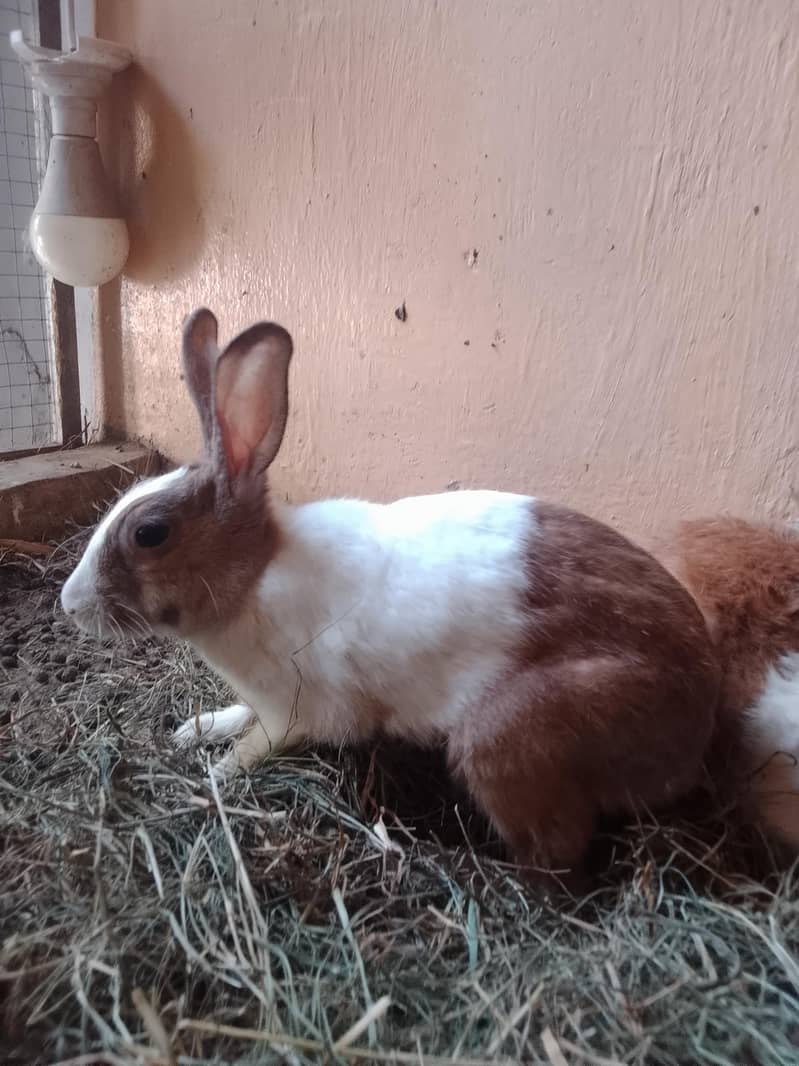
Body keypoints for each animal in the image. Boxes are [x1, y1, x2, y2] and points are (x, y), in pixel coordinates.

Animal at [60, 307, 720, 885]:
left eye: (150, 533)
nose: (69, 603)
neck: (254, 577)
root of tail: (699, 721)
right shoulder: (263, 698)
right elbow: (239, 716)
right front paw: (194, 730)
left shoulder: (298, 710)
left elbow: (257, 745)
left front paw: (217, 775)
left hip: (506, 738)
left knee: (558, 861)